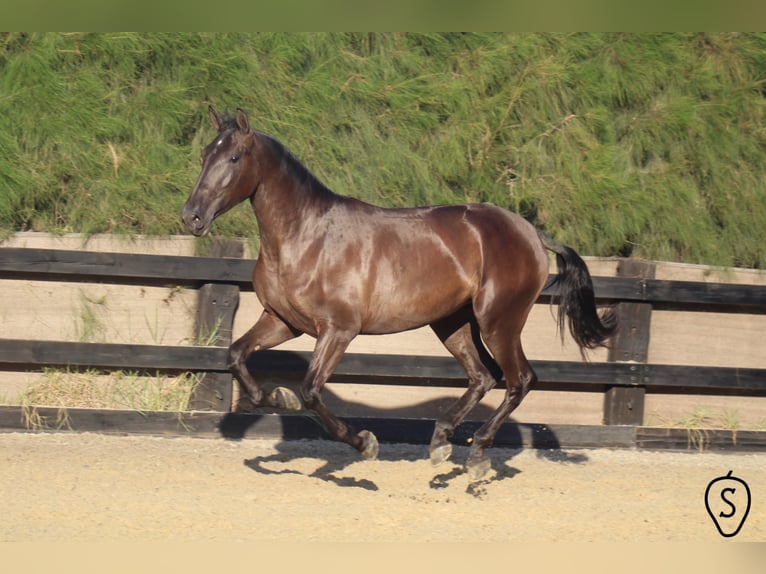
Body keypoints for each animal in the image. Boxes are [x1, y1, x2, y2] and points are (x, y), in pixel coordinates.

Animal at [182, 106, 616, 480]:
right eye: (204, 154)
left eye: (234, 157)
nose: (192, 217)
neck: (307, 237)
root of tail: (531, 233)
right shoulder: (283, 321)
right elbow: (237, 356)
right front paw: (278, 398)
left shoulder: (338, 330)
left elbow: (312, 390)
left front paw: (365, 443)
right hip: (453, 324)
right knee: (483, 377)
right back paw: (440, 443)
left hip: (499, 321)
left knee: (520, 379)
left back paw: (476, 454)